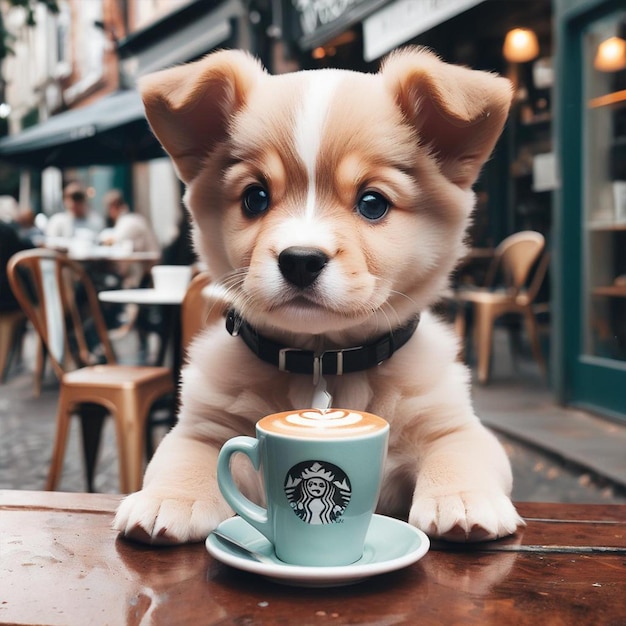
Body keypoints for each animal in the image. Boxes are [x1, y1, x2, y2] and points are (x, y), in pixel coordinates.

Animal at [113, 47, 520, 540]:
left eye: (372, 203)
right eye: (254, 198)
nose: (301, 259)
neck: (324, 361)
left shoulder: (454, 425)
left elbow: (459, 454)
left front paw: (461, 499)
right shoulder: (202, 428)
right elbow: (186, 457)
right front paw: (171, 498)